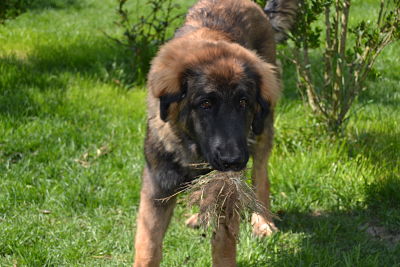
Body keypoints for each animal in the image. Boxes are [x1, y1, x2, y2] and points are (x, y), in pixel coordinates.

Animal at [133, 0, 296, 267]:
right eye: (205, 104)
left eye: (243, 102)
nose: (233, 160)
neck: (193, 150)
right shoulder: (157, 187)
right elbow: (148, 248)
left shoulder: (226, 192)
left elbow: (223, 249)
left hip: (262, 132)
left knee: (261, 177)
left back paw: (262, 222)